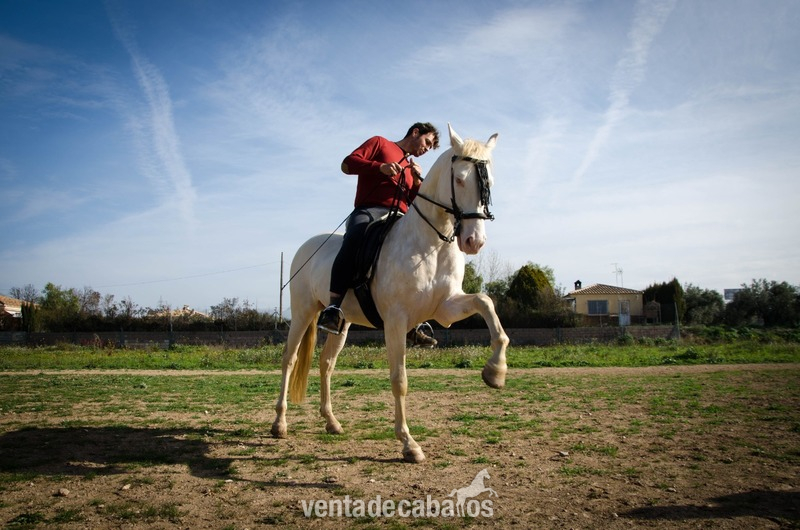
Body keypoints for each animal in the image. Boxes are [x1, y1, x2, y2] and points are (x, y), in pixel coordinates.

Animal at [271, 124, 509, 463]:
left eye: (491, 181)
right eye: (461, 179)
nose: (474, 241)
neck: (430, 244)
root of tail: (306, 247)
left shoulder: (446, 307)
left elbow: (485, 302)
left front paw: (495, 371)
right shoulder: (395, 321)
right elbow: (400, 380)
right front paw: (409, 443)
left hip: (342, 324)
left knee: (326, 364)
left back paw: (331, 422)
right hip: (303, 313)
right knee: (288, 360)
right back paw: (279, 423)